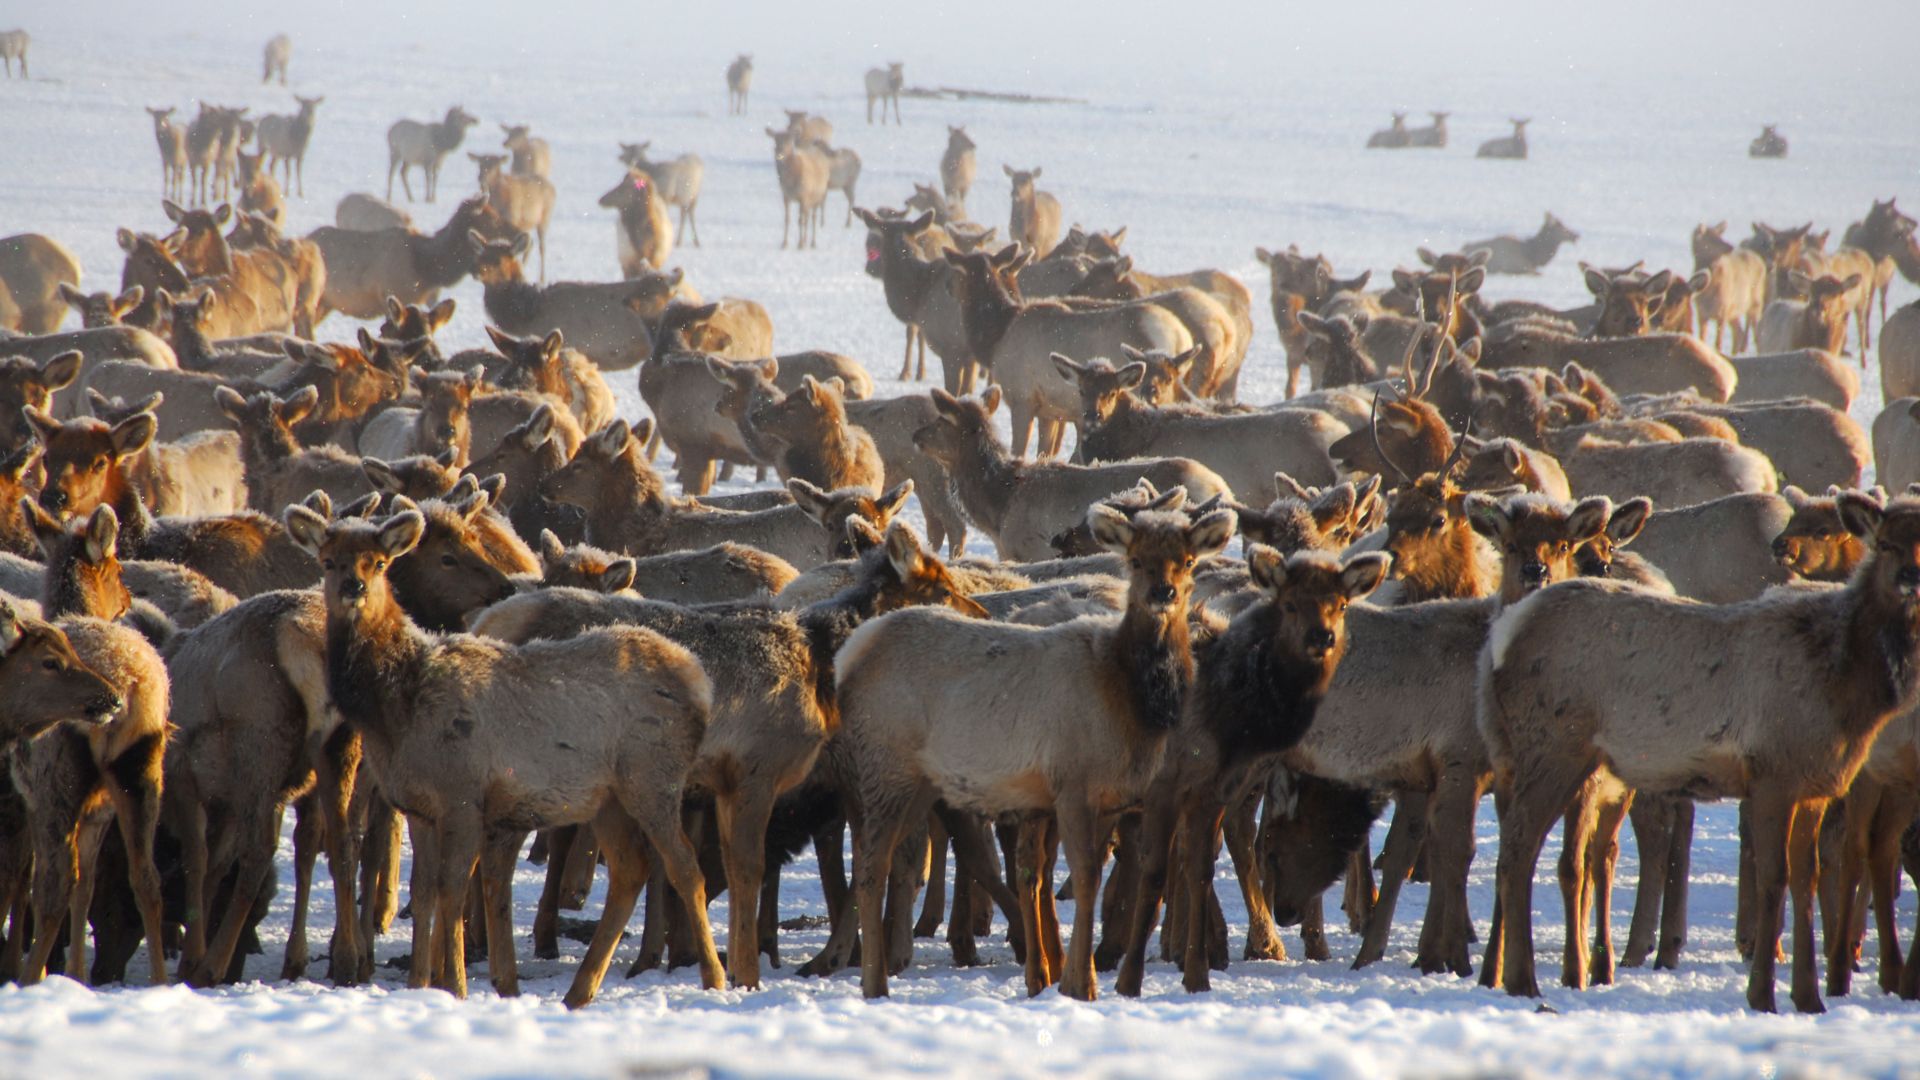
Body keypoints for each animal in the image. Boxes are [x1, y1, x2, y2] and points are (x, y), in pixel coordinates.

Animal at [288, 503, 721, 999]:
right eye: (328, 561)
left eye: (378, 563)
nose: (353, 588)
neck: (395, 708)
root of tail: (701, 684)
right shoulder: (417, 805)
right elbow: (423, 892)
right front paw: (420, 983)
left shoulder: (462, 793)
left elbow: (451, 889)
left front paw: (455, 984)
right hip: (609, 797)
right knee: (630, 870)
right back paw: (580, 990)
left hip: (652, 777)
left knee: (685, 868)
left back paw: (714, 976)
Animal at [844, 495, 1236, 991]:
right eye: (1134, 560)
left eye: (1187, 561)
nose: (1162, 593)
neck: (1133, 702)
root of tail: (850, 655)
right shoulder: (1073, 782)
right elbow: (1085, 878)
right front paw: (1080, 984)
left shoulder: (1115, 798)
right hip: (887, 766)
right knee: (870, 868)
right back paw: (875, 983)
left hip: (922, 784)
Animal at [1482, 488, 1920, 1006]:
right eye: (1886, 544)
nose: (1910, 577)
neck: (1852, 684)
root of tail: (1506, 632)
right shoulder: (1772, 772)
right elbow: (1774, 880)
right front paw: (1763, 994)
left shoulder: (1815, 783)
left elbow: (1806, 880)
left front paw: (1810, 998)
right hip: (1554, 745)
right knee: (1518, 849)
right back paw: (1524, 979)